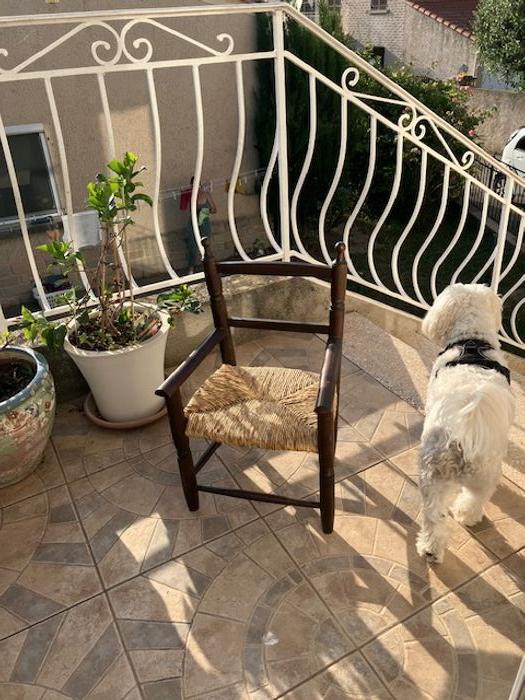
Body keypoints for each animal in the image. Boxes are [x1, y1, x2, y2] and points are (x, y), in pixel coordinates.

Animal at [416, 284, 512, 564]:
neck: (472, 341)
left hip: (432, 474)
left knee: (433, 516)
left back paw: (429, 549)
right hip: (484, 474)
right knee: (475, 498)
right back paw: (466, 516)